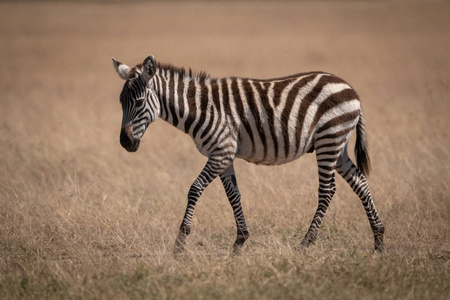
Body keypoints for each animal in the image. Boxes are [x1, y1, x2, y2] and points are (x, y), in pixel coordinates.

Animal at [111, 54, 384, 253]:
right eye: (121, 102)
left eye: (138, 102)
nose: (125, 142)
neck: (199, 108)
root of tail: (350, 88)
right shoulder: (224, 155)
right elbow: (234, 195)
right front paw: (240, 240)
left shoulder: (221, 151)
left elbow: (194, 189)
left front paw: (180, 242)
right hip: (338, 146)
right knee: (360, 182)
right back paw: (379, 240)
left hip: (330, 139)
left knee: (327, 190)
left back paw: (306, 243)